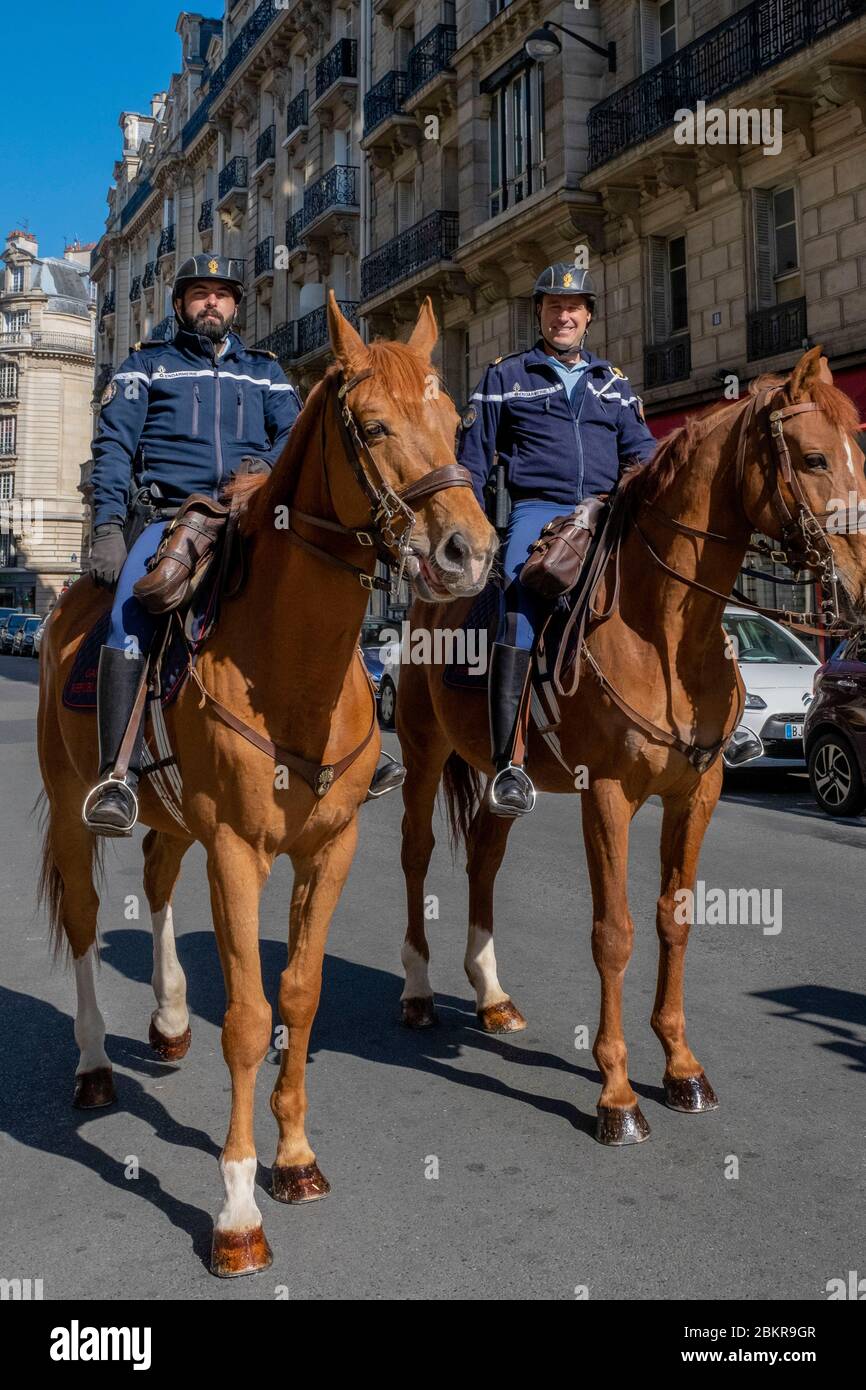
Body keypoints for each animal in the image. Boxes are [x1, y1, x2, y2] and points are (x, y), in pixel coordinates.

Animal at [37, 298, 497, 1273]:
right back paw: (95, 1065)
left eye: (453, 421)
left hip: (175, 819)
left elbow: (299, 996)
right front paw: (238, 1207)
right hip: (71, 808)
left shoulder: (330, 849)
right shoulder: (239, 854)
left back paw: (171, 1017)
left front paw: (293, 1159)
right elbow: (248, 1018)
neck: (293, 666)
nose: (468, 551)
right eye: (372, 426)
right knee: (88, 926)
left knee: (159, 880)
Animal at [397, 350, 866, 1150]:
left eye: (859, 454)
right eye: (812, 459)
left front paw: (680, 1066)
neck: (669, 630)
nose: (861, 585)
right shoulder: (607, 795)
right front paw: (616, 1094)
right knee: (418, 855)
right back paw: (419, 992)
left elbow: (673, 919)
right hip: (423, 753)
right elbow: (613, 934)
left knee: (485, 860)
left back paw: (491, 996)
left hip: (496, 773)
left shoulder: (697, 793)